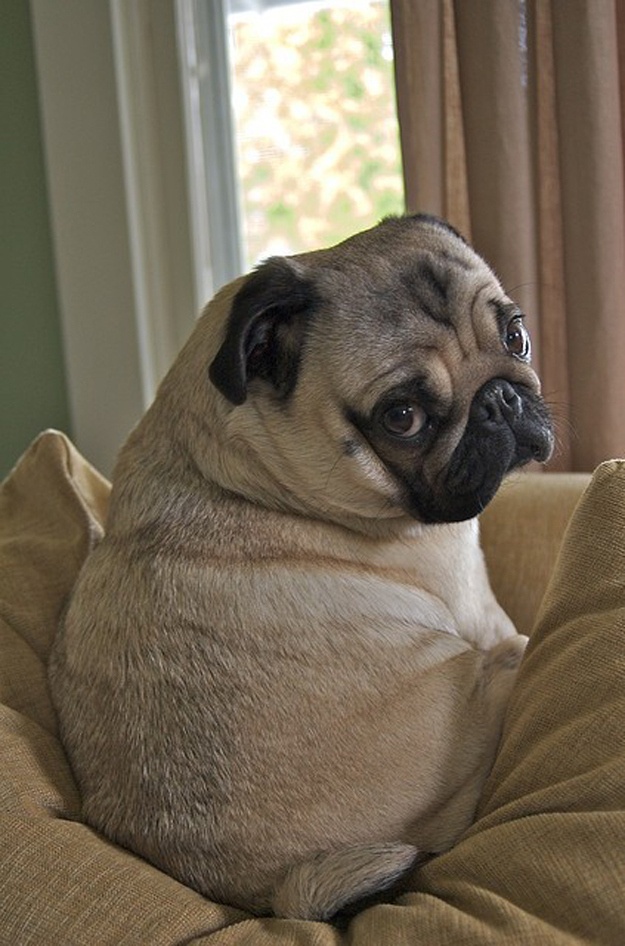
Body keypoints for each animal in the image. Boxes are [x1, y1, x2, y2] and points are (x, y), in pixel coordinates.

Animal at [51, 212, 552, 916]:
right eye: (403, 417)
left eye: (517, 336)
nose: (501, 399)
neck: (247, 474)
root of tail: (274, 894)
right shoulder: (476, 603)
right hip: (501, 668)